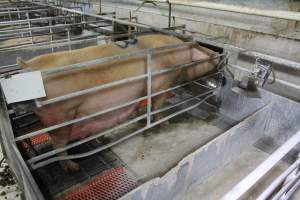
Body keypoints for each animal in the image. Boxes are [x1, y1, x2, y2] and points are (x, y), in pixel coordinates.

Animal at [17, 33, 218, 171]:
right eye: (203, 50)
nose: (218, 54)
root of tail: (29, 67)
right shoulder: (161, 83)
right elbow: (157, 106)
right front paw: (164, 122)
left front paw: (137, 114)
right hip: (61, 116)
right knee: (57, 146)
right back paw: (73, 167)